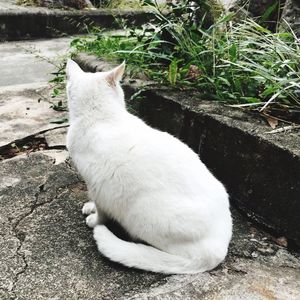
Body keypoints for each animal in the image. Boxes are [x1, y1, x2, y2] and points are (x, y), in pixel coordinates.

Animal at [67, 59, 233, 274]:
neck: (101, 117)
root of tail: (219, 249)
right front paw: (89, 207)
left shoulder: (98, 186)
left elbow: (101, 212)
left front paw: (94, 219)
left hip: (143, 214)